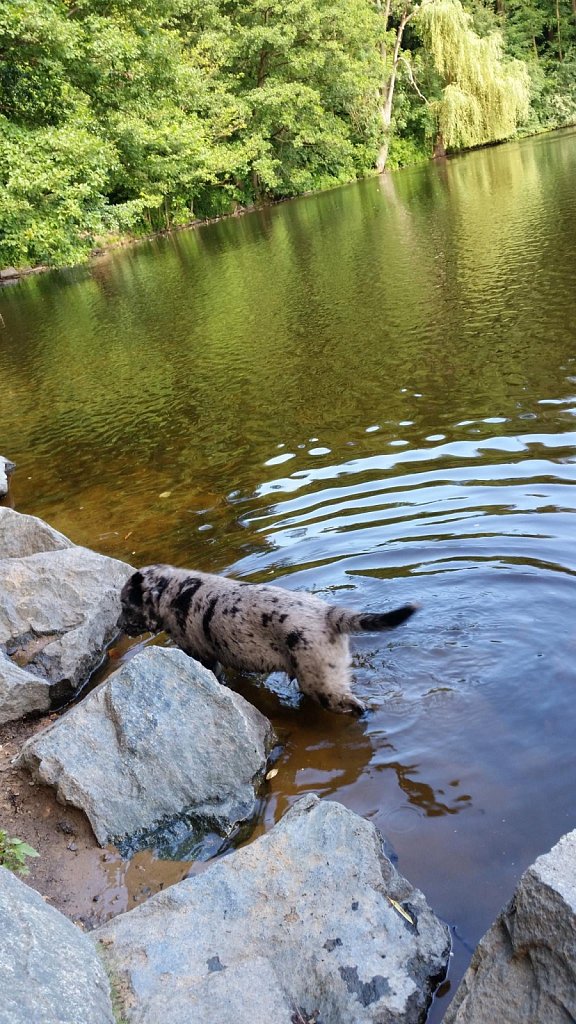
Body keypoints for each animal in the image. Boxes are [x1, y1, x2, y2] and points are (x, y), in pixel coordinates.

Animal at [116, 565, 414, 716]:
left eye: (125, 606)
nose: (118, 626)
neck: (173, 591)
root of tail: (328, 614)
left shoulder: (203, 657)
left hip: (323, 686)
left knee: (354, 705)